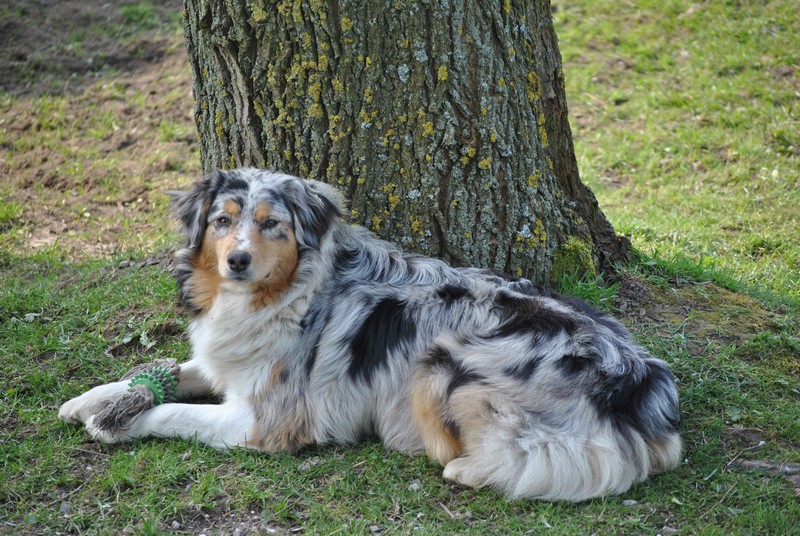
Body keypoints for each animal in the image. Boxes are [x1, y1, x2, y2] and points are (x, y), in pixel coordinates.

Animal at [57, 169, 680, 502]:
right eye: (222, 221)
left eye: (272, 225)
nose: (237, 261)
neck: (284, 294)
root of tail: (641, 384)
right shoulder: (230, 366)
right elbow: (164, 375)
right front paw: (88, 400)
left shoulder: (266, 420)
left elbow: (173, 413)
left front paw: (116, 424)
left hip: (442, 360)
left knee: (525, 459)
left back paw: (459, 465)